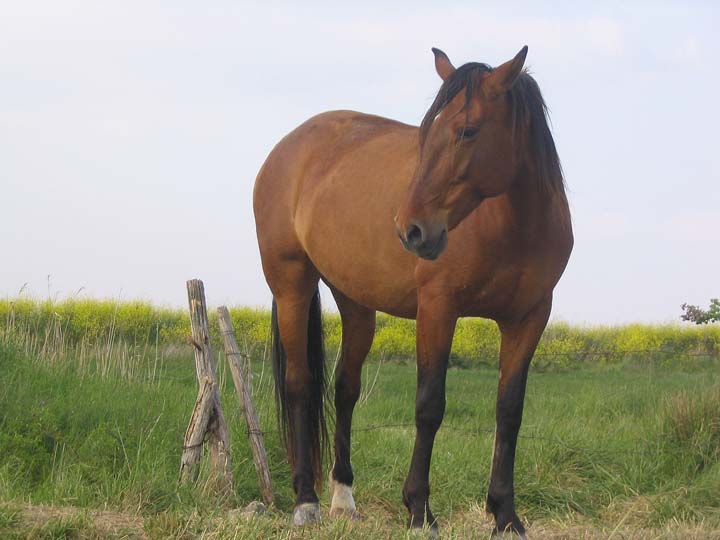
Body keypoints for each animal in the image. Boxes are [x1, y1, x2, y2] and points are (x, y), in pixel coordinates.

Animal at [253, 46, 573, 538]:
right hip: (291, 284)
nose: (411, 230)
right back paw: (305, 500)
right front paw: (419, 509)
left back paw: (343, 497)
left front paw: (505, 514)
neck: (514, 226)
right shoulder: (439, 309)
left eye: (467, 130)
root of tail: (286, 148)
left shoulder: (530, 317)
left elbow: (509, 411)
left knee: (345, 388)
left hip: (356, 302)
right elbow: (429, 405)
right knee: (300, 386)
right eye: (428, 132)